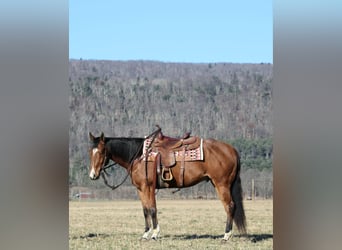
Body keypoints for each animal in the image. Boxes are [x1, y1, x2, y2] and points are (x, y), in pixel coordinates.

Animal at [88, 128, 246, 241]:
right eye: (90, 151)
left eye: (101, 151)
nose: (93, 175)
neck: (140, 156)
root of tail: (232, 150)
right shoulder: (140, 189)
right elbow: (145, 210)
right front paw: (145, 234)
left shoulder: (148, 187)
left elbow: (152, 209)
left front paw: (155, 234)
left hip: (222, 184)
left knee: (230, 206)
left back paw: (226, 235)